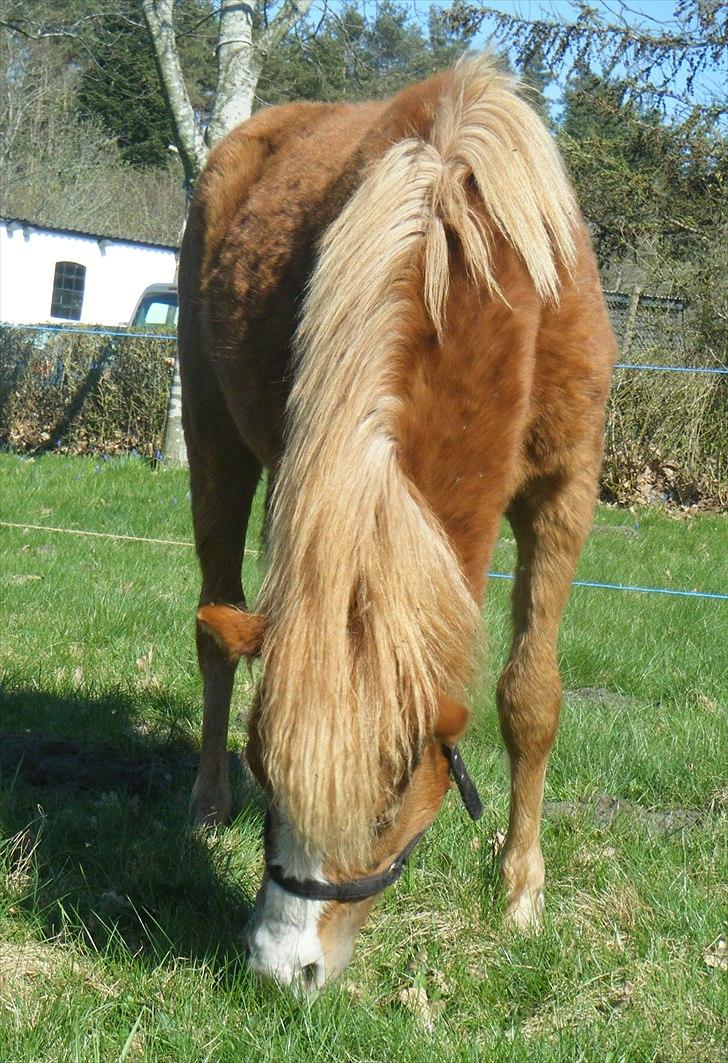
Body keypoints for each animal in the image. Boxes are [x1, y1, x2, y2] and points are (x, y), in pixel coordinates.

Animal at [176, 56, 612, 986]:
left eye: (388, 802)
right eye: (269, 772)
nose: (280, 967)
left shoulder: (566, 489)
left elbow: (531, 697)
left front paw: (520, 887)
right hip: (212, 436)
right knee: (213, 628)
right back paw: (205, 800)